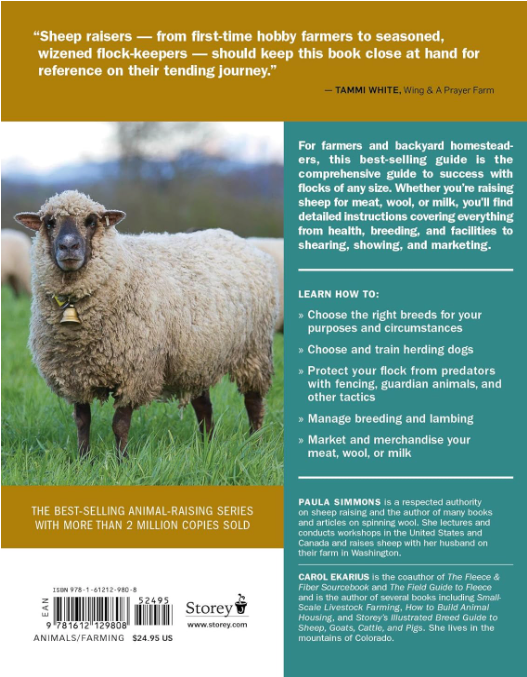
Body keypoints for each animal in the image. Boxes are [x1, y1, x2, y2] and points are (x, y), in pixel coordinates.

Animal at [15, 190, 279, 459]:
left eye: (91, 221)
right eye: (49, 222)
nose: (69, 246)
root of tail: (236, 238)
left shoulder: (135, 372)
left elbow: (119, 424)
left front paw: (122, 461)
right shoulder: (75, 373)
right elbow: (81, 421)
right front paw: (83, 460)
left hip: (253, 350)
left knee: (254, 402)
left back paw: (255, 443)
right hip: (196, 356)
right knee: (204, 405)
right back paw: (207, 445)